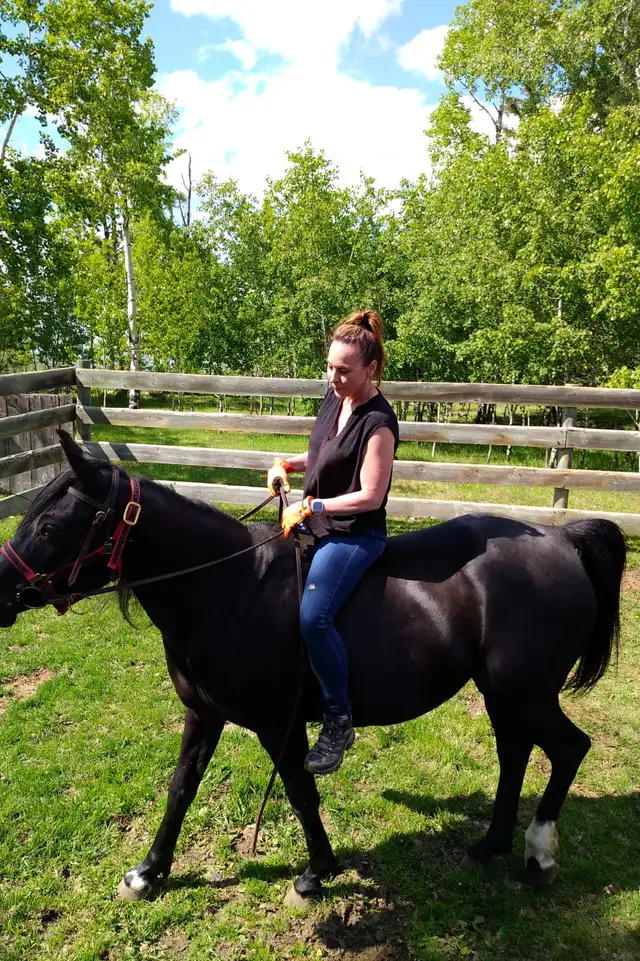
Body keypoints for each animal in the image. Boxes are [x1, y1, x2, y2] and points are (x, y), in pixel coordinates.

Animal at [0, 430, 625, 904]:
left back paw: (538, 853)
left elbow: (301, 790)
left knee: (569, 748)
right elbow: (181, 787)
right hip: (503, 694)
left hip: (525, 692)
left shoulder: (277, 723)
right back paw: (492, 845)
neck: (228, 587)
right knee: (515, 754)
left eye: (51, 527)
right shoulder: (203, 714)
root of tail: (560, 538)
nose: (1, 589)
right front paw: (148, 873)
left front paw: (316, 872)